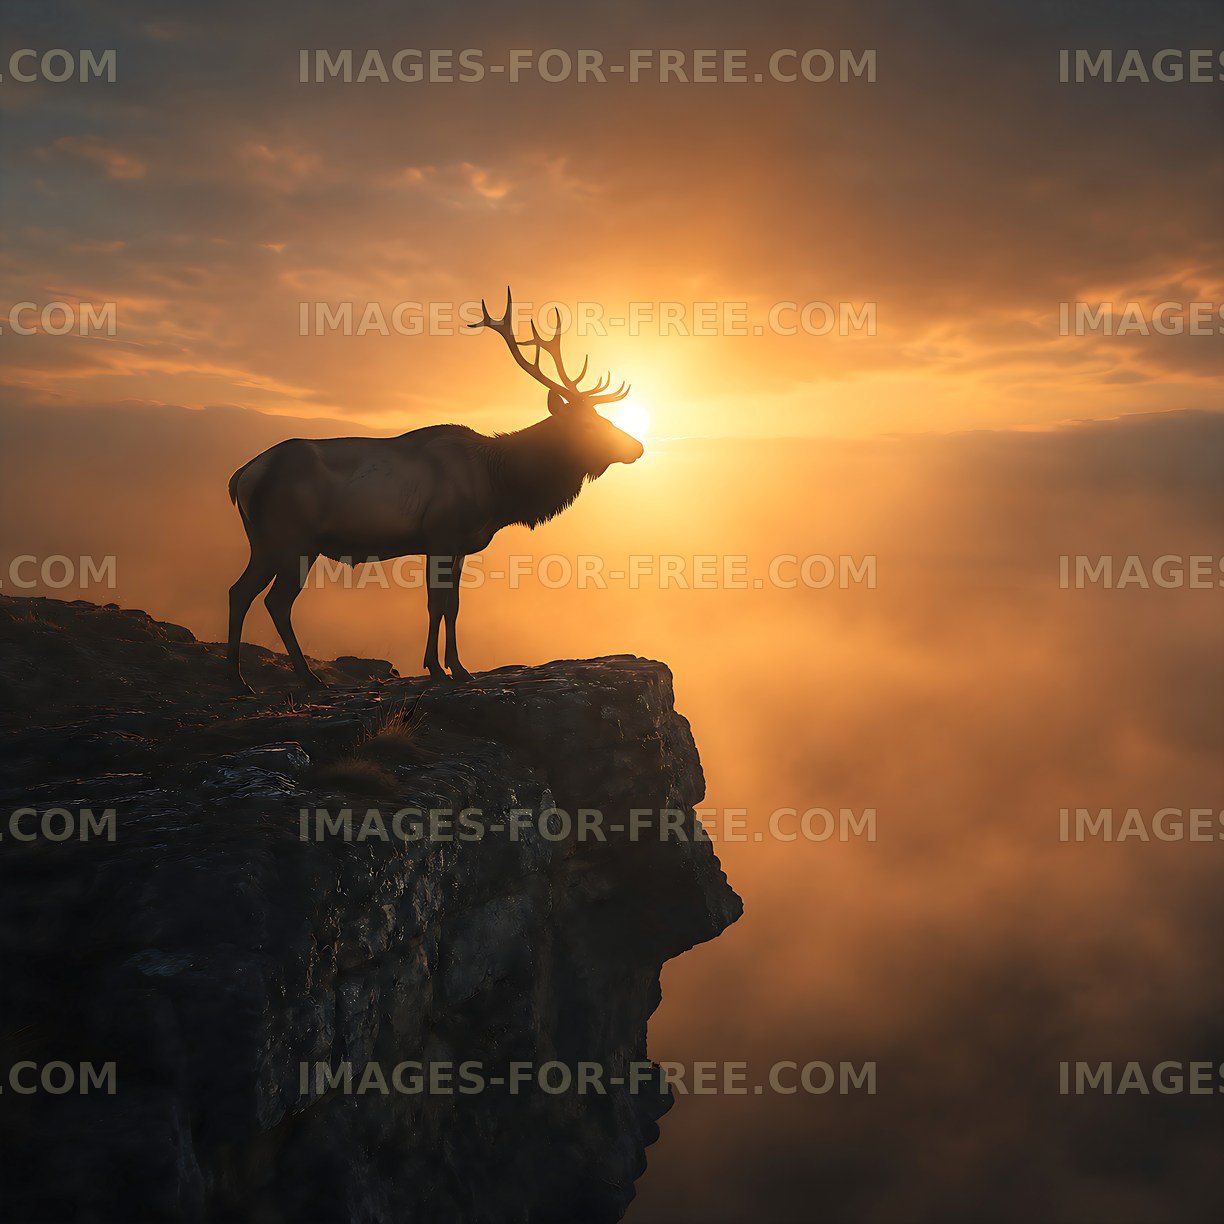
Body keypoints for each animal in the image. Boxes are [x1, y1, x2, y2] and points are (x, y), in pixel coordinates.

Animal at [225, 289, 643, 693]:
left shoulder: (459, 546)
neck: (497, 488)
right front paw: (437, 669)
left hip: (266, 541)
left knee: (240, 591)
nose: (637, 447)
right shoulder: (441, 534)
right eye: (589, 423)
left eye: (602, 416)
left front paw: (458, 668)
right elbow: (435, 603)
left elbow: (452, 605)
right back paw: (298, 678)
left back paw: (243, 680)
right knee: (275, 600)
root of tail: (241, 476)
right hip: (291, 539)